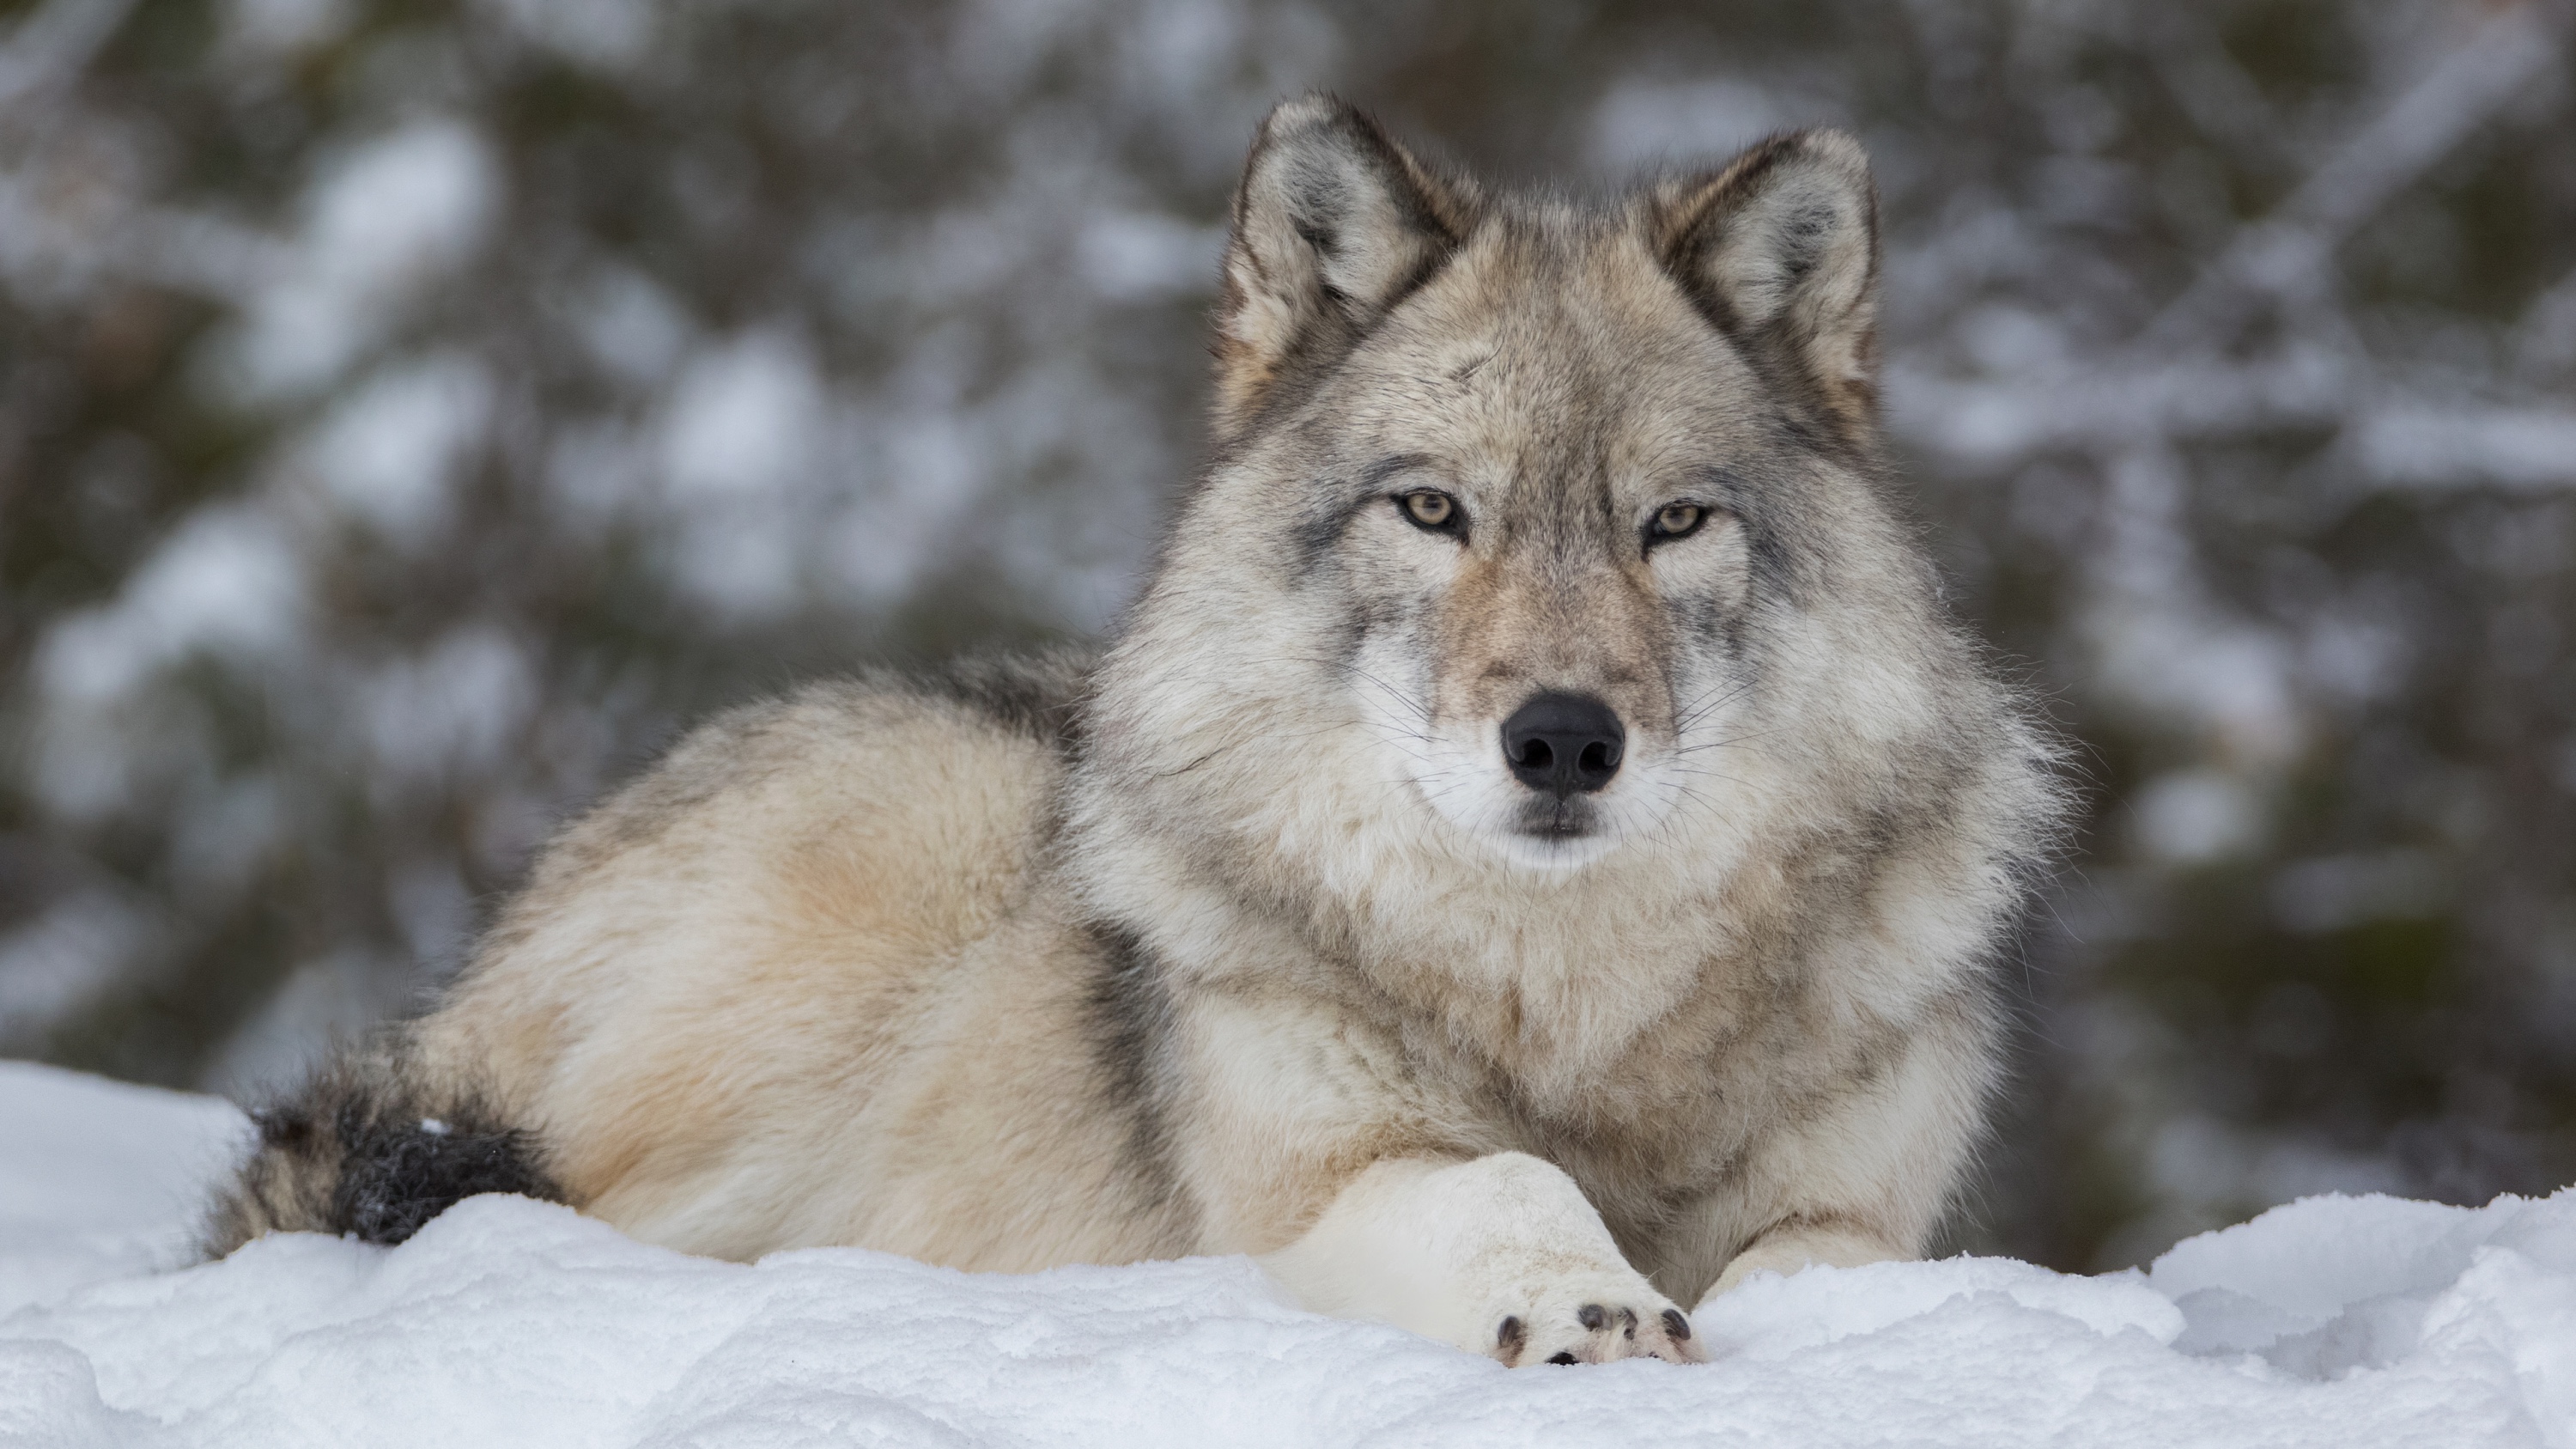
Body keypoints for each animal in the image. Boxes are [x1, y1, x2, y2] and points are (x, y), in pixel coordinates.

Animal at [209, 95, 2064, 1368]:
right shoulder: (1313, 1186)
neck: (1575, 1011)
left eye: (1671, 525)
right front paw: (1586, 1304)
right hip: (893, 877)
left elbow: (1840, 1262)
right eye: (1435, 511)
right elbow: (1503, 1185)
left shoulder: (1863, 1205)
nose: (1561, 740)